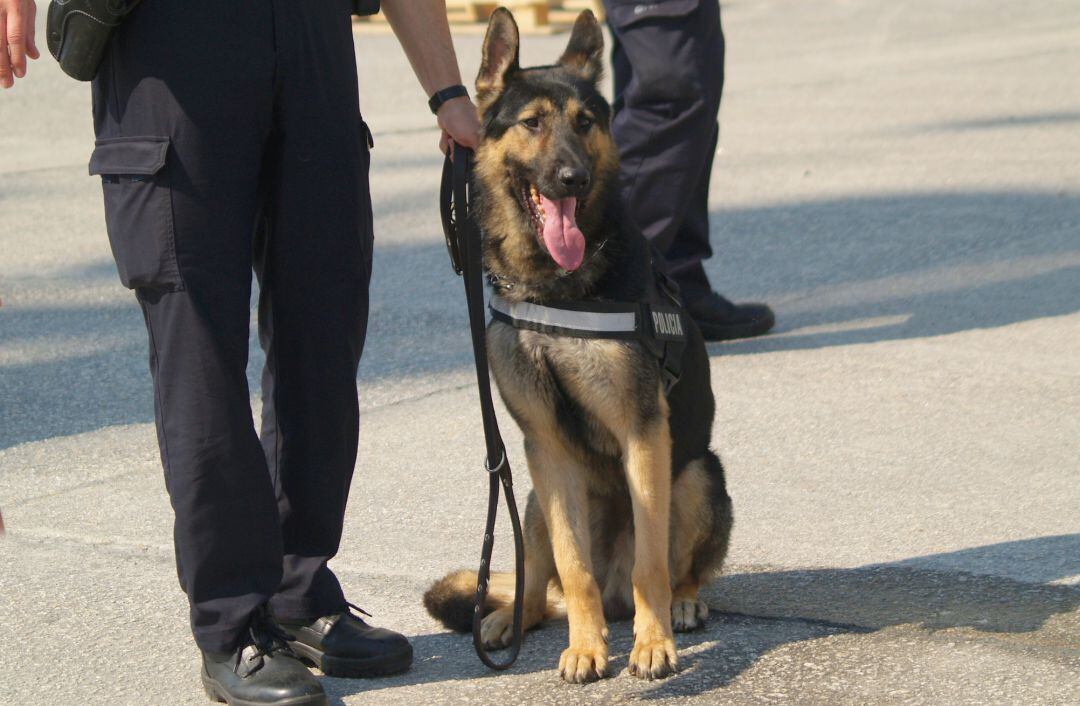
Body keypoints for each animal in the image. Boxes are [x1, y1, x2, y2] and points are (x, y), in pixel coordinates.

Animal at [423, 6, 734, 686]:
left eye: (585, 123)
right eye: (533, 123)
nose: (573, 178)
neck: (554, 283)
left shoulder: (645, 433)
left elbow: (651, 563)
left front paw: (652, 643)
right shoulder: (544, 445)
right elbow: (573, 568)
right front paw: (587, 647)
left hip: (698, 475)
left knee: (679, 570)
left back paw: (682, 604)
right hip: (533, 500)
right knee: (541, 586)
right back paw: (509, 618)